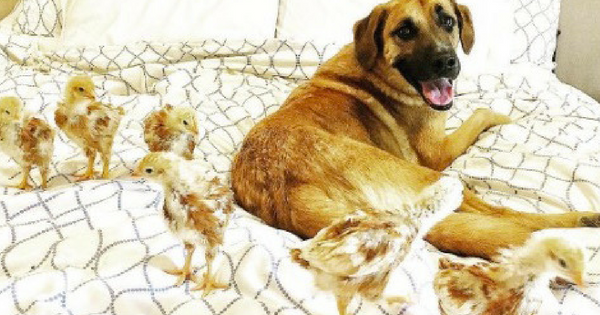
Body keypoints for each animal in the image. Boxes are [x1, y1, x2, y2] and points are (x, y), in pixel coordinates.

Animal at [231, 0, 600, 260]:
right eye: (404, 31)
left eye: (448, 21)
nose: (447, 63)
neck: (377, 69)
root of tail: (289, 194)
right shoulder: (438, 153)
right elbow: (480, 113)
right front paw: (503, 115)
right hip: (435, 179)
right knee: (511, 217)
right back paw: (582, 222)